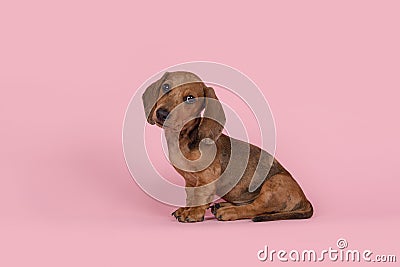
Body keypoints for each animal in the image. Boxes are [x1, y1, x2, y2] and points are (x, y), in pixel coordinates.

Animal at [142, 71, 314, 224]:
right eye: (165, 87)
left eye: (190, 98)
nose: (162, 113)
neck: (183, 139)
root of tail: (305, 200)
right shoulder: (189, 182)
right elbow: (191, 198)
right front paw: (186, 209)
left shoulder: (207, 178)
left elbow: (199, 197)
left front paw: (193, 213)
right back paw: (222, 205)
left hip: (274, 183)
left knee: (255, 208)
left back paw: (229, 211)